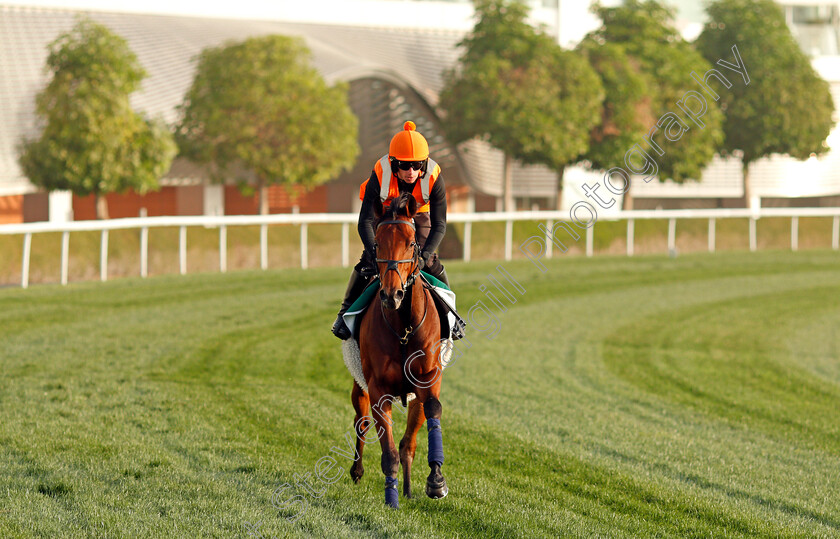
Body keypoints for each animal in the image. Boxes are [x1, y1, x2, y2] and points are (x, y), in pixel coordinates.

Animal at [348, 192, 450, 508]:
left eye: (410, 242)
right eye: (378, 243)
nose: (392, 294)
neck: (404, 327)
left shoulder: (428, 378)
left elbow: (432, 412)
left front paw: (435, 480)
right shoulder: (378, 388)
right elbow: (387, 450)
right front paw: (390, 500)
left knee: (409, 442)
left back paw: (407, 488)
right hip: (359, 384)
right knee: (361, 422)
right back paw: (358, 471)